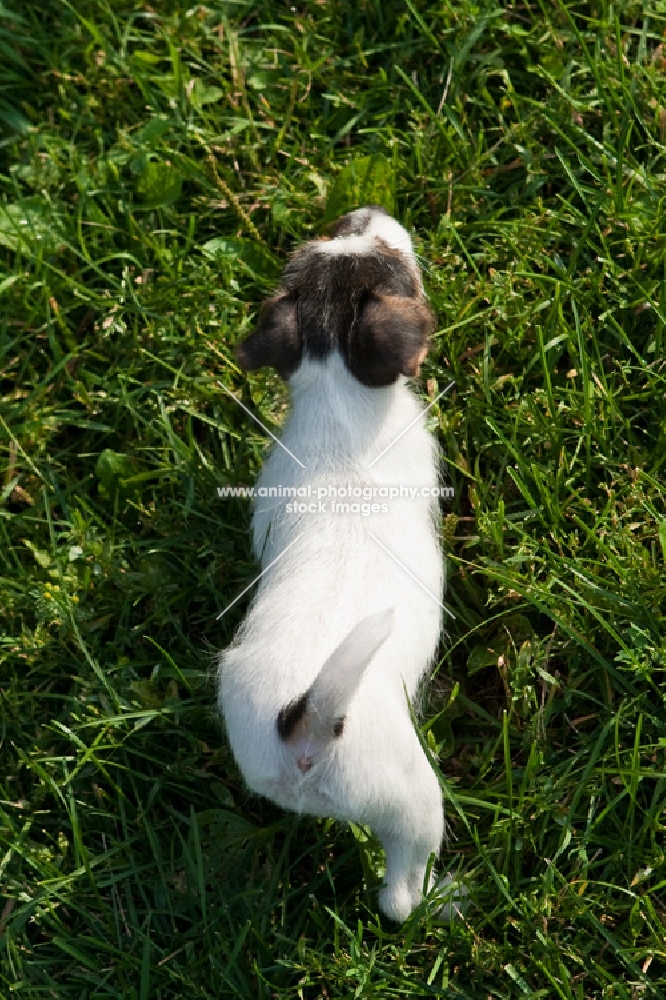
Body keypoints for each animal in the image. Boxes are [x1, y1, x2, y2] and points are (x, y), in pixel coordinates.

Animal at [218, 205, 452, 920]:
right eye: (394, 261)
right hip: (412, 802)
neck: (338, 396)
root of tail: (306, 723)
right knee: (400, 894)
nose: (364, 212)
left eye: (324, 241)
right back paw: (442, 899)